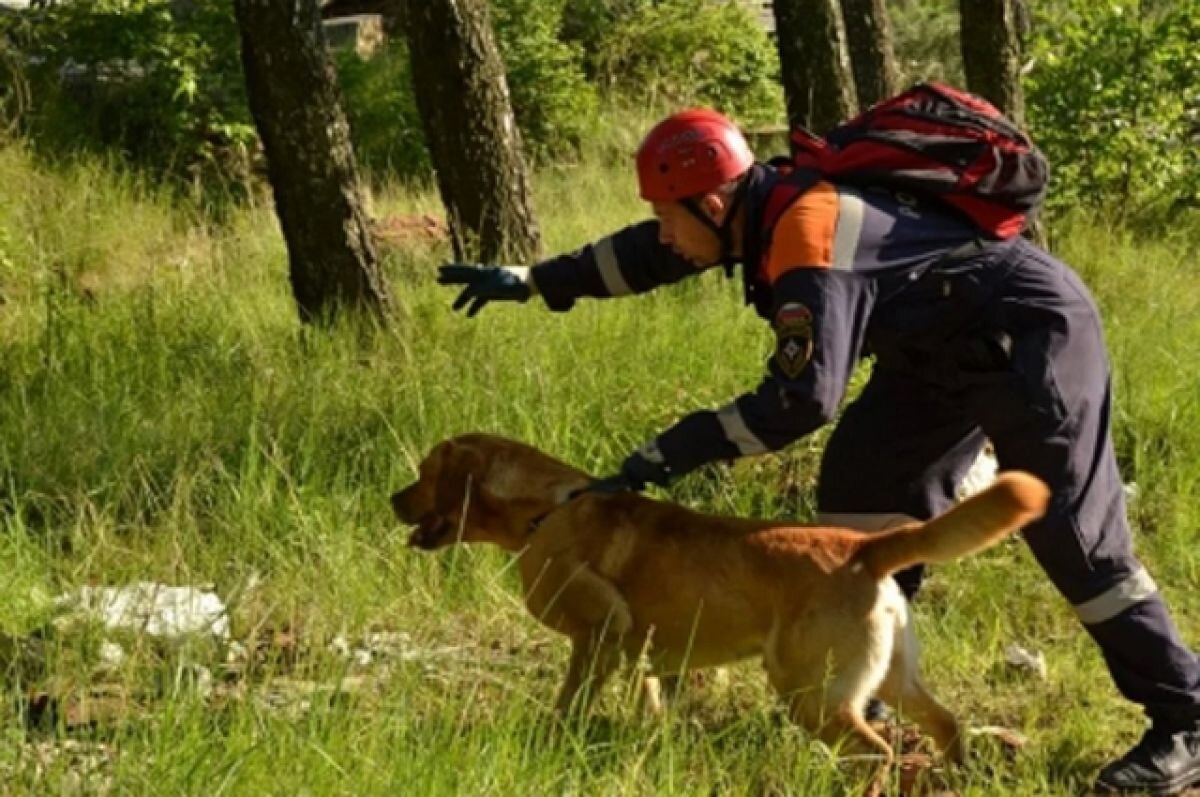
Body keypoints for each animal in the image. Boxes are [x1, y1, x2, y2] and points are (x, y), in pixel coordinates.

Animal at [388, 436, 1046, 768]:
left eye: (423, 472)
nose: (394, 500)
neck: (546, 509)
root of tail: (865, 546)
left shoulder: (597, 634)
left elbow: (569, 701)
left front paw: (556, 738)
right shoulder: (646, 655)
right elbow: (650, 704)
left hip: (811, 693)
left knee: (878, 750)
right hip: (892, 680)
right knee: (947, 725)